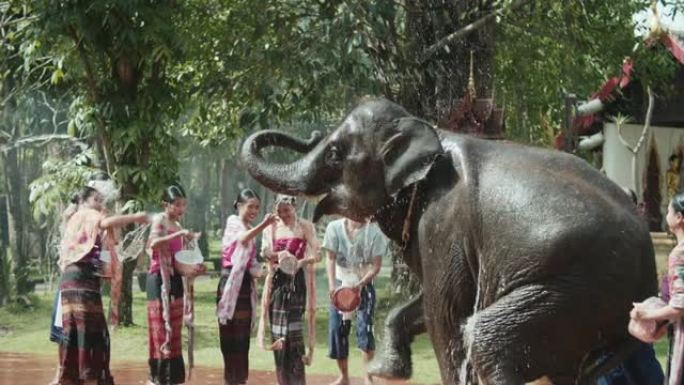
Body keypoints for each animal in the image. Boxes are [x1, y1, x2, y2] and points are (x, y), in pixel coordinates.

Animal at [240, 97, 656, 384]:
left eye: (333, 153)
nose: (311, 133)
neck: (431, 131)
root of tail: (649, 270)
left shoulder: (444, 220)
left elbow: (446, 314)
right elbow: (424, 302)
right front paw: (384, 371)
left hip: (580, 287)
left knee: (489, 339)